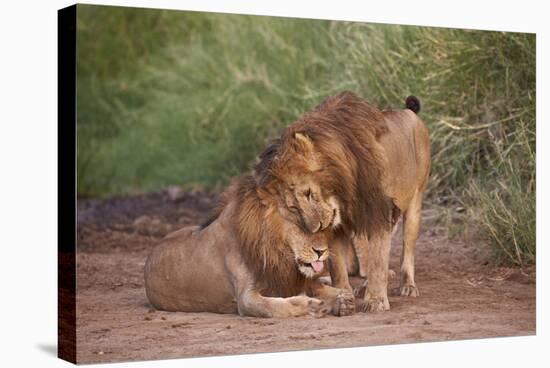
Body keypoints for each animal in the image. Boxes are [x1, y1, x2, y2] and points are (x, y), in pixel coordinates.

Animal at [144, 134, 356, 316]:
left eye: (323, 227)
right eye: (300, 224)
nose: (322, 251)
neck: (274, 249)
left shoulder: (292, 281)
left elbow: (326, 289)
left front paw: (342, 300)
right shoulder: (246, 298)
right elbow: (276, 307)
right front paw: (310, 305)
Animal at [256, 92, 434, 314]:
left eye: (308, 193)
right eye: (292, 206)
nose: (315, 228)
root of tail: (409, 111)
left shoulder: (378, 211)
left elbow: (377, 260)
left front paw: (376, 301)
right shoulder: (338, 226)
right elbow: (339, 266)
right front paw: (342, 296)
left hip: (415, 202)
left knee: (406, 250)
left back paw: (407, 286)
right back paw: (363, 287)